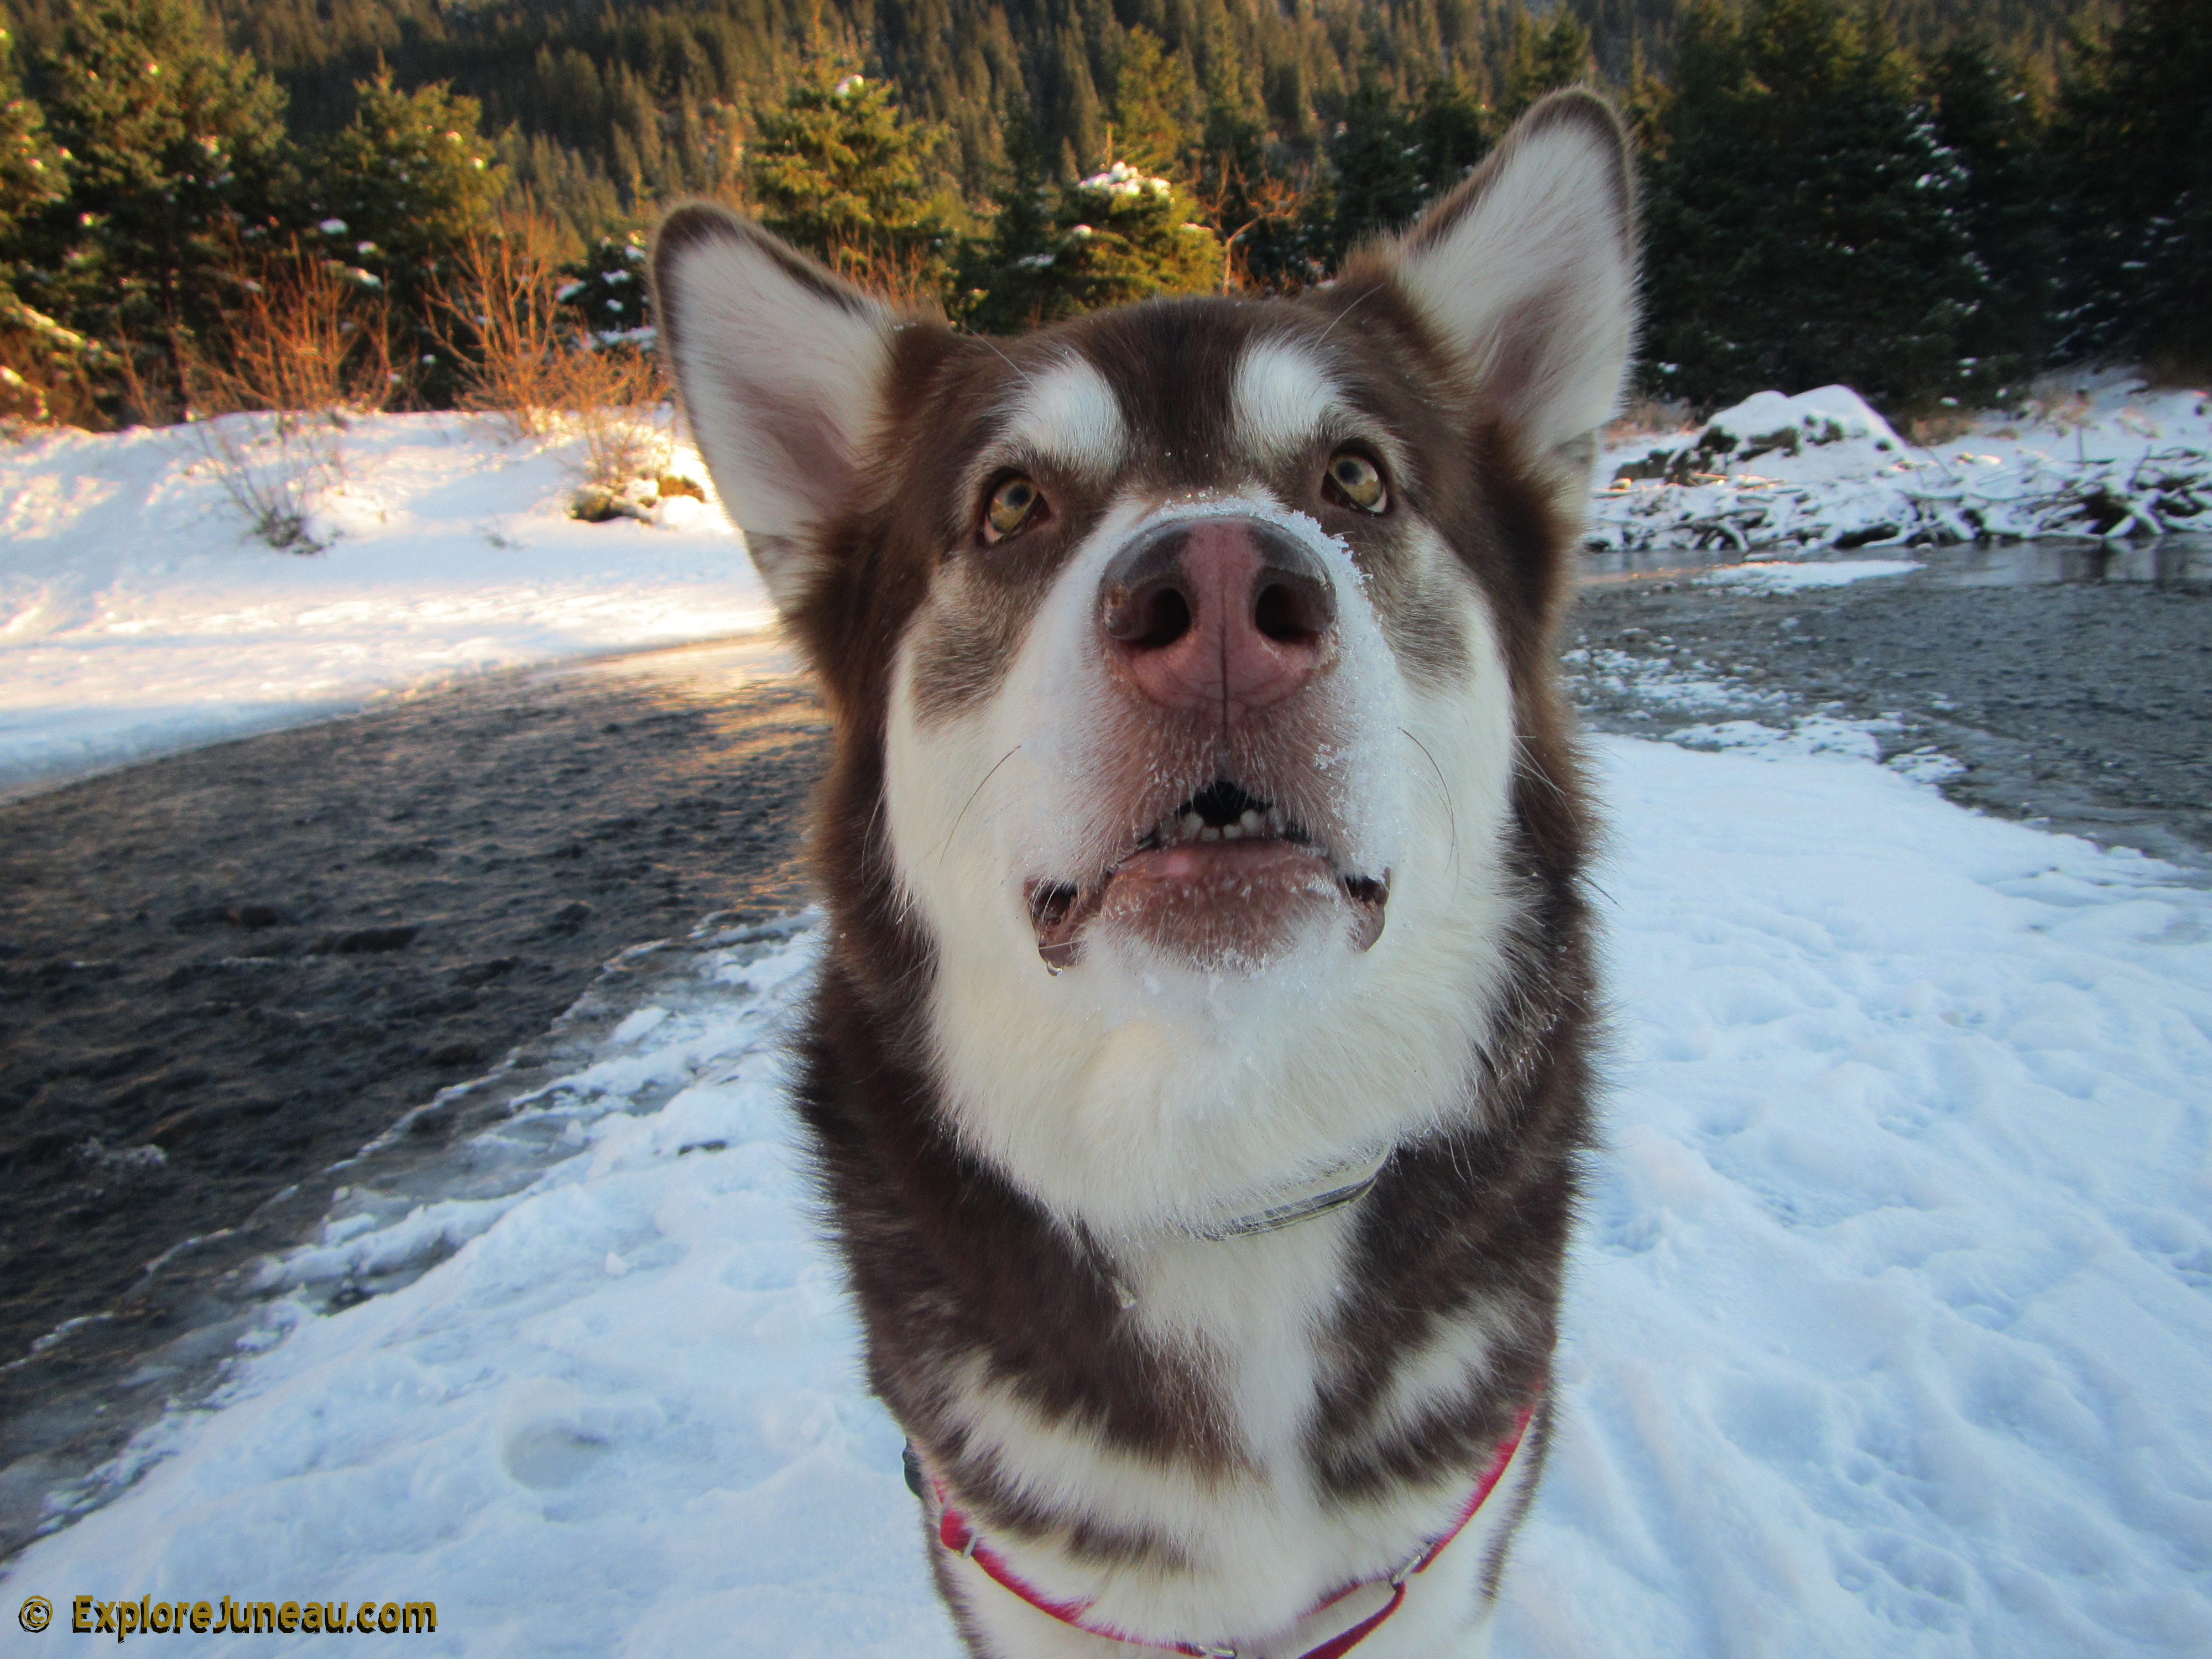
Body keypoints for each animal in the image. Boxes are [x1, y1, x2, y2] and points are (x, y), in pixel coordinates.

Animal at [646, 91, 1637, 1659]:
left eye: (1354, 477)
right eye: (1009, 505)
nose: (1223, 591)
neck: (1221, 1168)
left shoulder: (1435, 1562)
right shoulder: (1023, 1579)